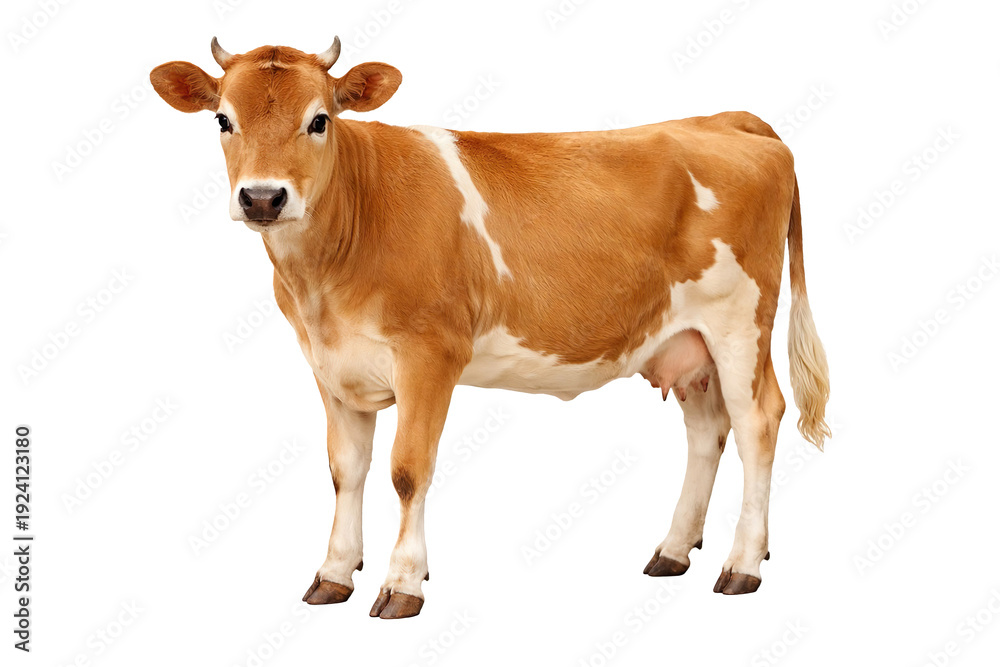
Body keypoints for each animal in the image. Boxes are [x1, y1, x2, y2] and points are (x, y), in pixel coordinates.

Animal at [150, 37, 831, 619]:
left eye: (320, 120)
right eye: (222, 121)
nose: (263, 198)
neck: (323, 281)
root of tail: (726, 119)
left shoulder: (430, 353)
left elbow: (407, 469)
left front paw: (403, 582)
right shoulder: (329, 364)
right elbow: (346, 469)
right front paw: (334, 573)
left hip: (739, 323)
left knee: (757, 421)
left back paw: (742, 565)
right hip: (685, 341)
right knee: (707, 430)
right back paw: (672, 551)